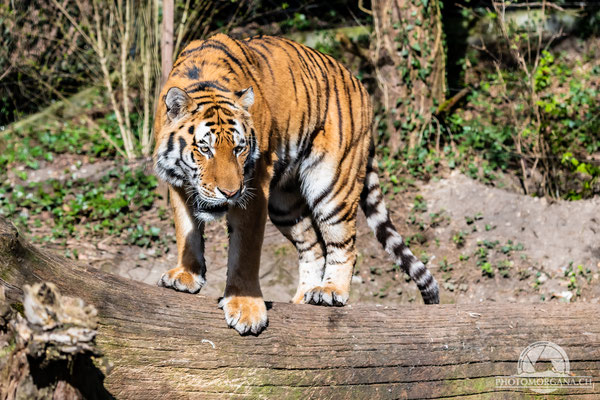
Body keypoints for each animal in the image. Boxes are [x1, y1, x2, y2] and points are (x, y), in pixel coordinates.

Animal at [152, 33, 438, 334]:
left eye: (239, 149)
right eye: (205, 149)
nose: (230, 192)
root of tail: (360, 84)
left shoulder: (255, 189)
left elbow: (245, 253)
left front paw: (246, 307)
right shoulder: (179, 184)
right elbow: (187, 229)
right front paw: (186, 275)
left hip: (332, 184)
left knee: (345, 245)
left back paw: (330, 291)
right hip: (285, 205)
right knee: (313, 247)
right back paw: (303, 299)